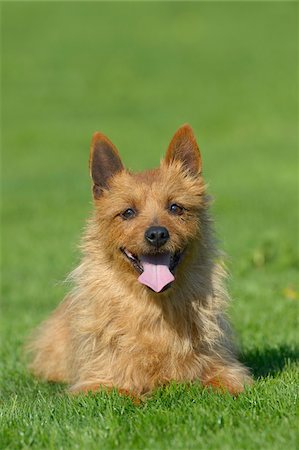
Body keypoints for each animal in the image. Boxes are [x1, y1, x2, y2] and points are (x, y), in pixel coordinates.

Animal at [28, 125, 253, 396]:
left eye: (175, 207)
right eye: (128, 212)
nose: (157, 234)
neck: (156, 309)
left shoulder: (229, 371)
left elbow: (222, 385)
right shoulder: (96, 382)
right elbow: (123, 392)